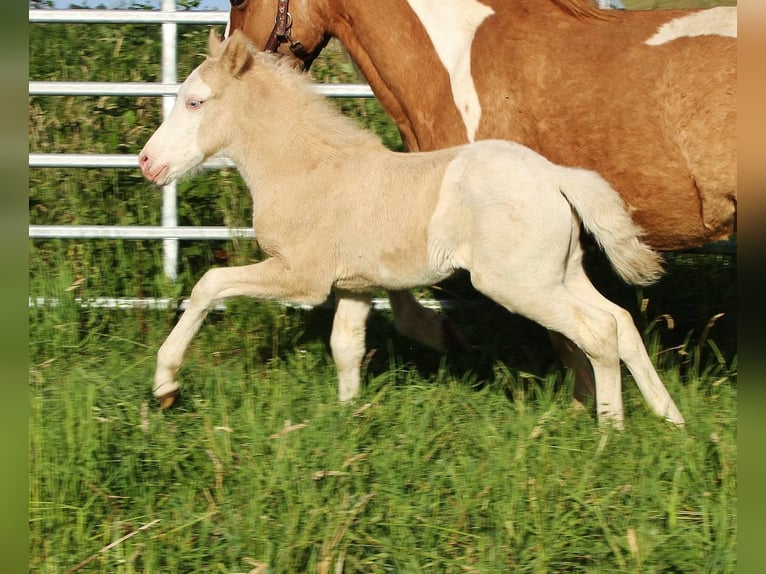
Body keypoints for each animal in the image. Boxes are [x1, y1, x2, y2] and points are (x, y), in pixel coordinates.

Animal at [138, 30, 685, 429]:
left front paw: (166, 384)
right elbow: (346, 347)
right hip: (561, 274)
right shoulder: (356, 286)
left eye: (194, 102)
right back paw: (670, 419)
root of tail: (555, 176)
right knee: (621, 322)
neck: (306, 168)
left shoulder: (301, 277)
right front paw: (348, 420)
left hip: (520, 284)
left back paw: (610, 431)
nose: (146, 162)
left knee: (598, 332)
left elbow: (209, 285)